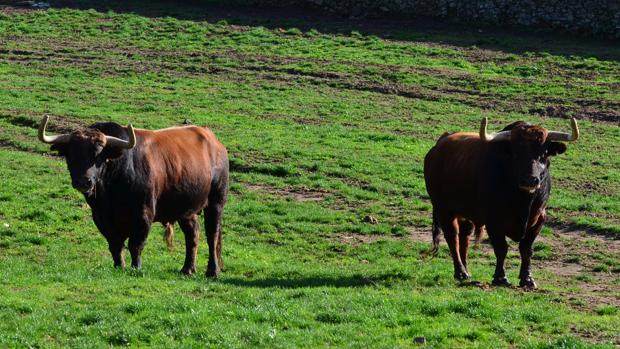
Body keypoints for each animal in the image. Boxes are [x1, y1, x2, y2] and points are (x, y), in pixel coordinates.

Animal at [424, 118, 580, 286]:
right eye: (516, 153)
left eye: (544, 154)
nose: (529, 180)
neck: (522, 202)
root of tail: (441, 142)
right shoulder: (493, 221)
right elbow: (501, 249)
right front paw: (500, 277)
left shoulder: (539, 219)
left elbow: (526, 249)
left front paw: (527, 279)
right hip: (444, 209)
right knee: (452, 237)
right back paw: (460, 272)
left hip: (465, 213)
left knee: (464, 238)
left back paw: (466, 270)